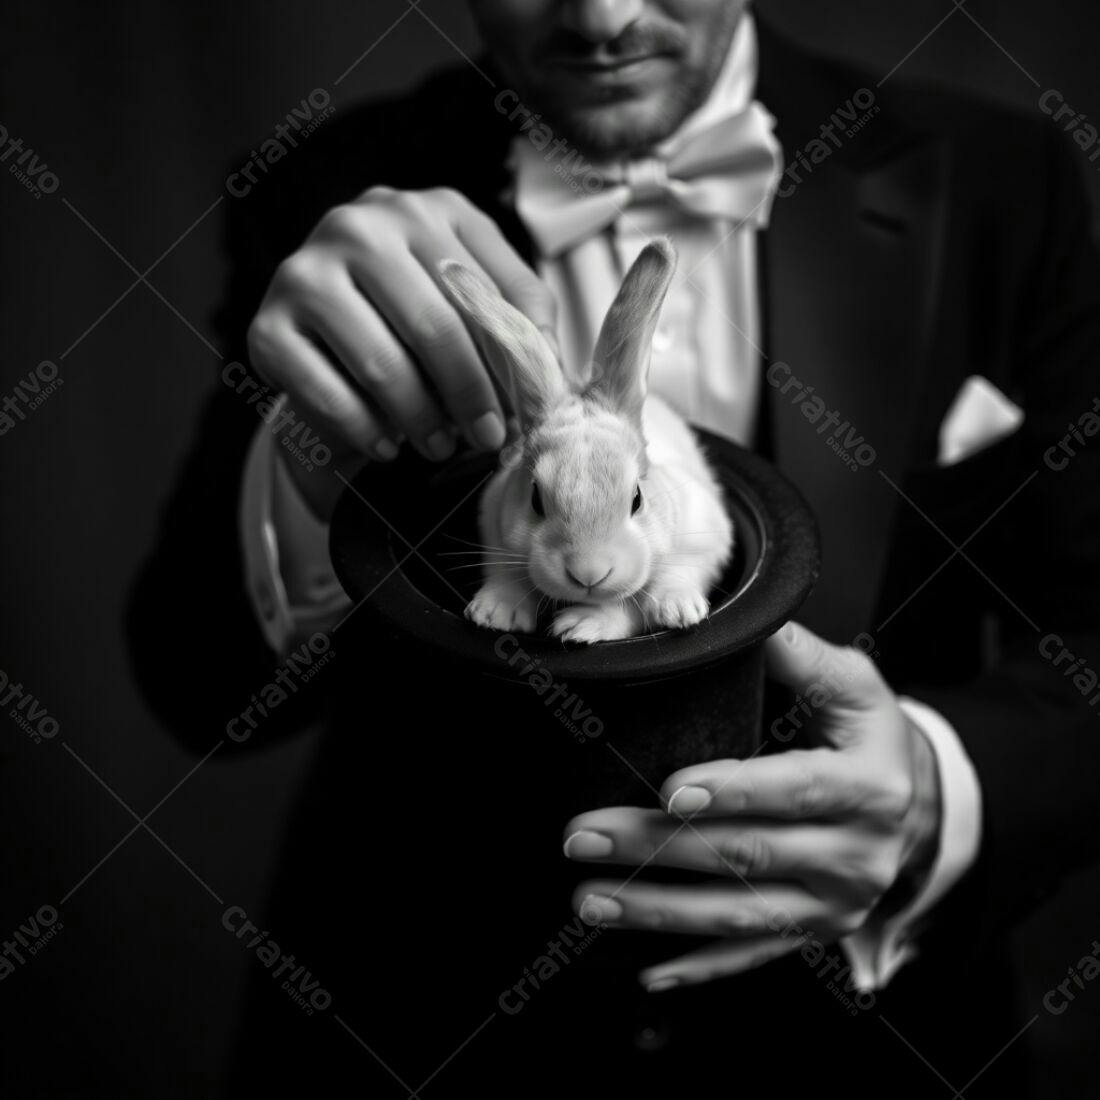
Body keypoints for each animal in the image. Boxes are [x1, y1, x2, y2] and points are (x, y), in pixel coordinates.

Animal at [437, 237, 733, 644]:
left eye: (637, 499)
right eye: (535, 499)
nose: (589, 574)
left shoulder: (706, 535)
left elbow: (648, 593)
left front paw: (595, 623)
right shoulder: (495, 528)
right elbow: (506, 573)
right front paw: (495, 614)